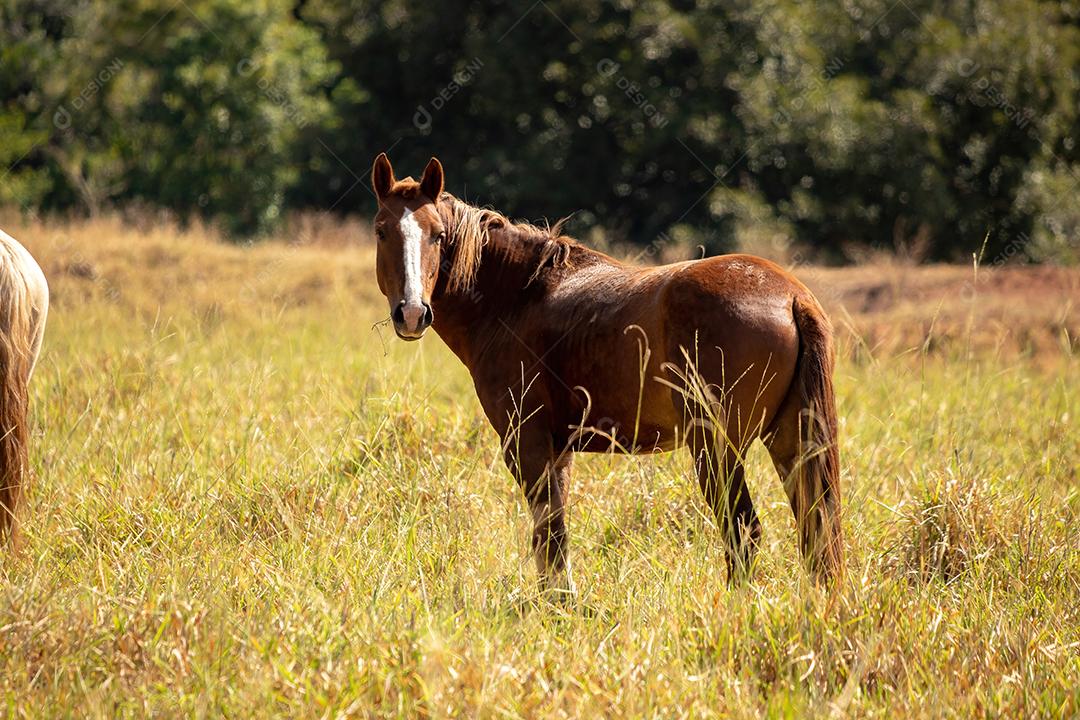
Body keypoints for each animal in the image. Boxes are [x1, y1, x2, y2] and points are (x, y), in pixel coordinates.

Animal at [371, 153, 842, 595]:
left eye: (438, 235)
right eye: (381, 231)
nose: (412, 313)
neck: (518, 298)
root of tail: (791, 296)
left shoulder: (527, 442)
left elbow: (550, 534)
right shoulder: (558, 449)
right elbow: (554, 533)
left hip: (717, 448)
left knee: (744, 531)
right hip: (789, 443)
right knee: (816, 532)